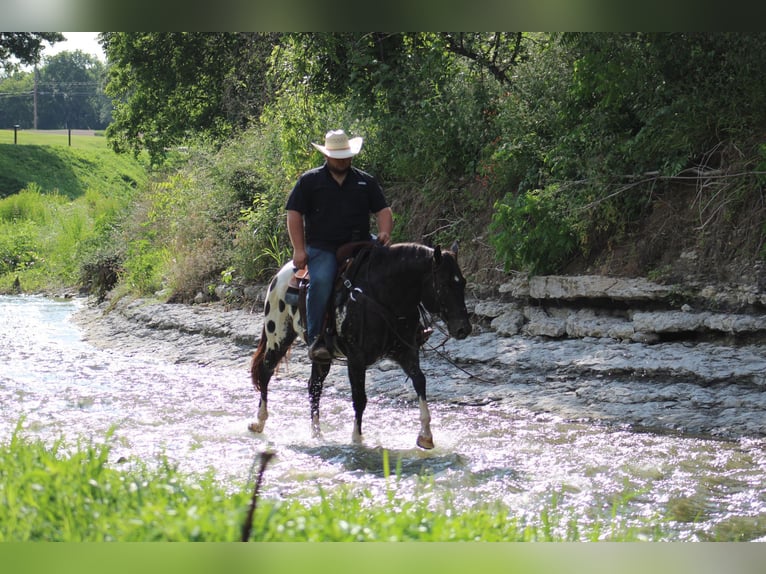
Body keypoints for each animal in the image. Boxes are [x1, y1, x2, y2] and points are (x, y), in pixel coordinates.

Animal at [249, 242, 472, 450]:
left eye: (462, 283)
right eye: (444, 284)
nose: (464, 328)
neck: (383, 297)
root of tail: (281, 273)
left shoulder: (406, 351)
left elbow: (420, 382)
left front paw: (426, 436)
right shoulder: (356, 359)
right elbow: (360, 398)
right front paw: (357, 439)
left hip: (321, 356)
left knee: (314, 387)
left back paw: (317, 435)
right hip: (278, 337)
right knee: (266, 372)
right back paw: (258, 422)